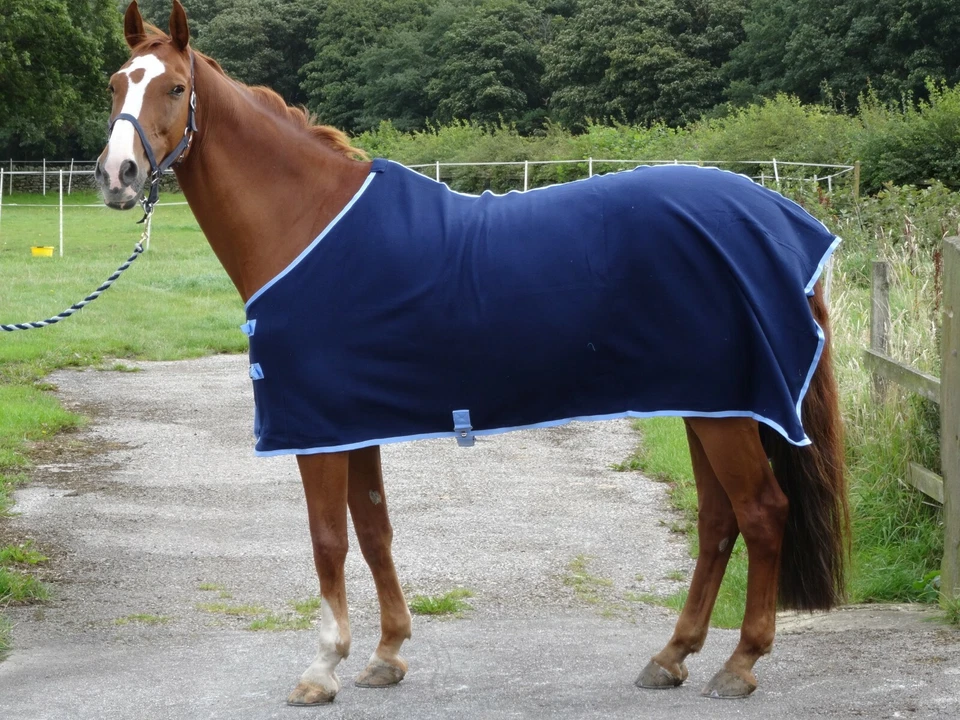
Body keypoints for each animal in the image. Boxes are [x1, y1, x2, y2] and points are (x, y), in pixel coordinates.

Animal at [96, 1, 849, 705]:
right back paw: (672, 655)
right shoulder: (352, 421)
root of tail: (780, 217)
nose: (117, 175)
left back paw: (740, 663)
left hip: (729, 411)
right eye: (116, 84)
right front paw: (387, 653)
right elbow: (375, 529)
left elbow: (328, 538)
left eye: (175, 88)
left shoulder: (316, 429)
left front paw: (321, 667)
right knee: (719, 519)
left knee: (761, 512)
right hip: (709, 401)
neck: (305, 221)